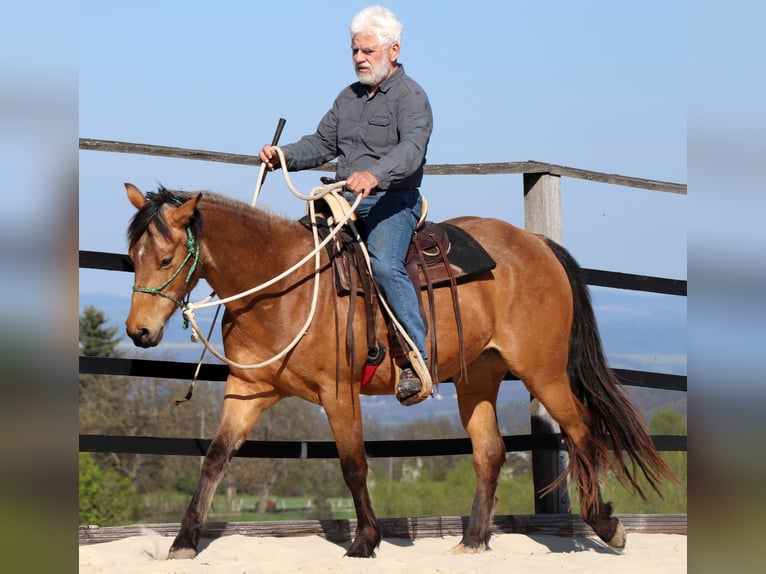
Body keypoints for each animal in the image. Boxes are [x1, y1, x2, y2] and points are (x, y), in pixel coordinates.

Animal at [123, 182, 674, 559]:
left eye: (167, 258)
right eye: (132, 257)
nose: (138, 331)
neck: (284, 287)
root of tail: (537, 243)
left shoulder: (338, 393)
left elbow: (353, 464)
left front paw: (366, 540)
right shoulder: (248, 389)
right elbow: (215, 459)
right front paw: (184, 540)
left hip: (543, 371)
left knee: (581, 430)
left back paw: (607, 526)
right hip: (478, 377)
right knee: (490, 451)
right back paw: (473, 542)